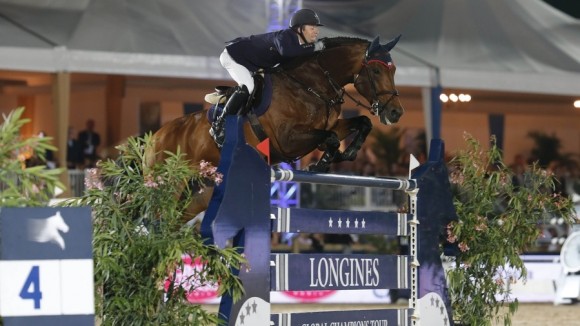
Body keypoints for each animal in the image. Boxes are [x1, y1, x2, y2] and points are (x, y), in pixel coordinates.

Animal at [147, 36, 406, 224]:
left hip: (198, 194)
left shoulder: (329, 125)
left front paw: (347, 153)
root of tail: (154, 137)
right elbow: (331, 139)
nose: (396, 113)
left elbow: (362, 123)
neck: (312, 85)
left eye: (393, 71)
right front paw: (320, 164)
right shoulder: (287, 140)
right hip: (169, 185)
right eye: (376, 71)